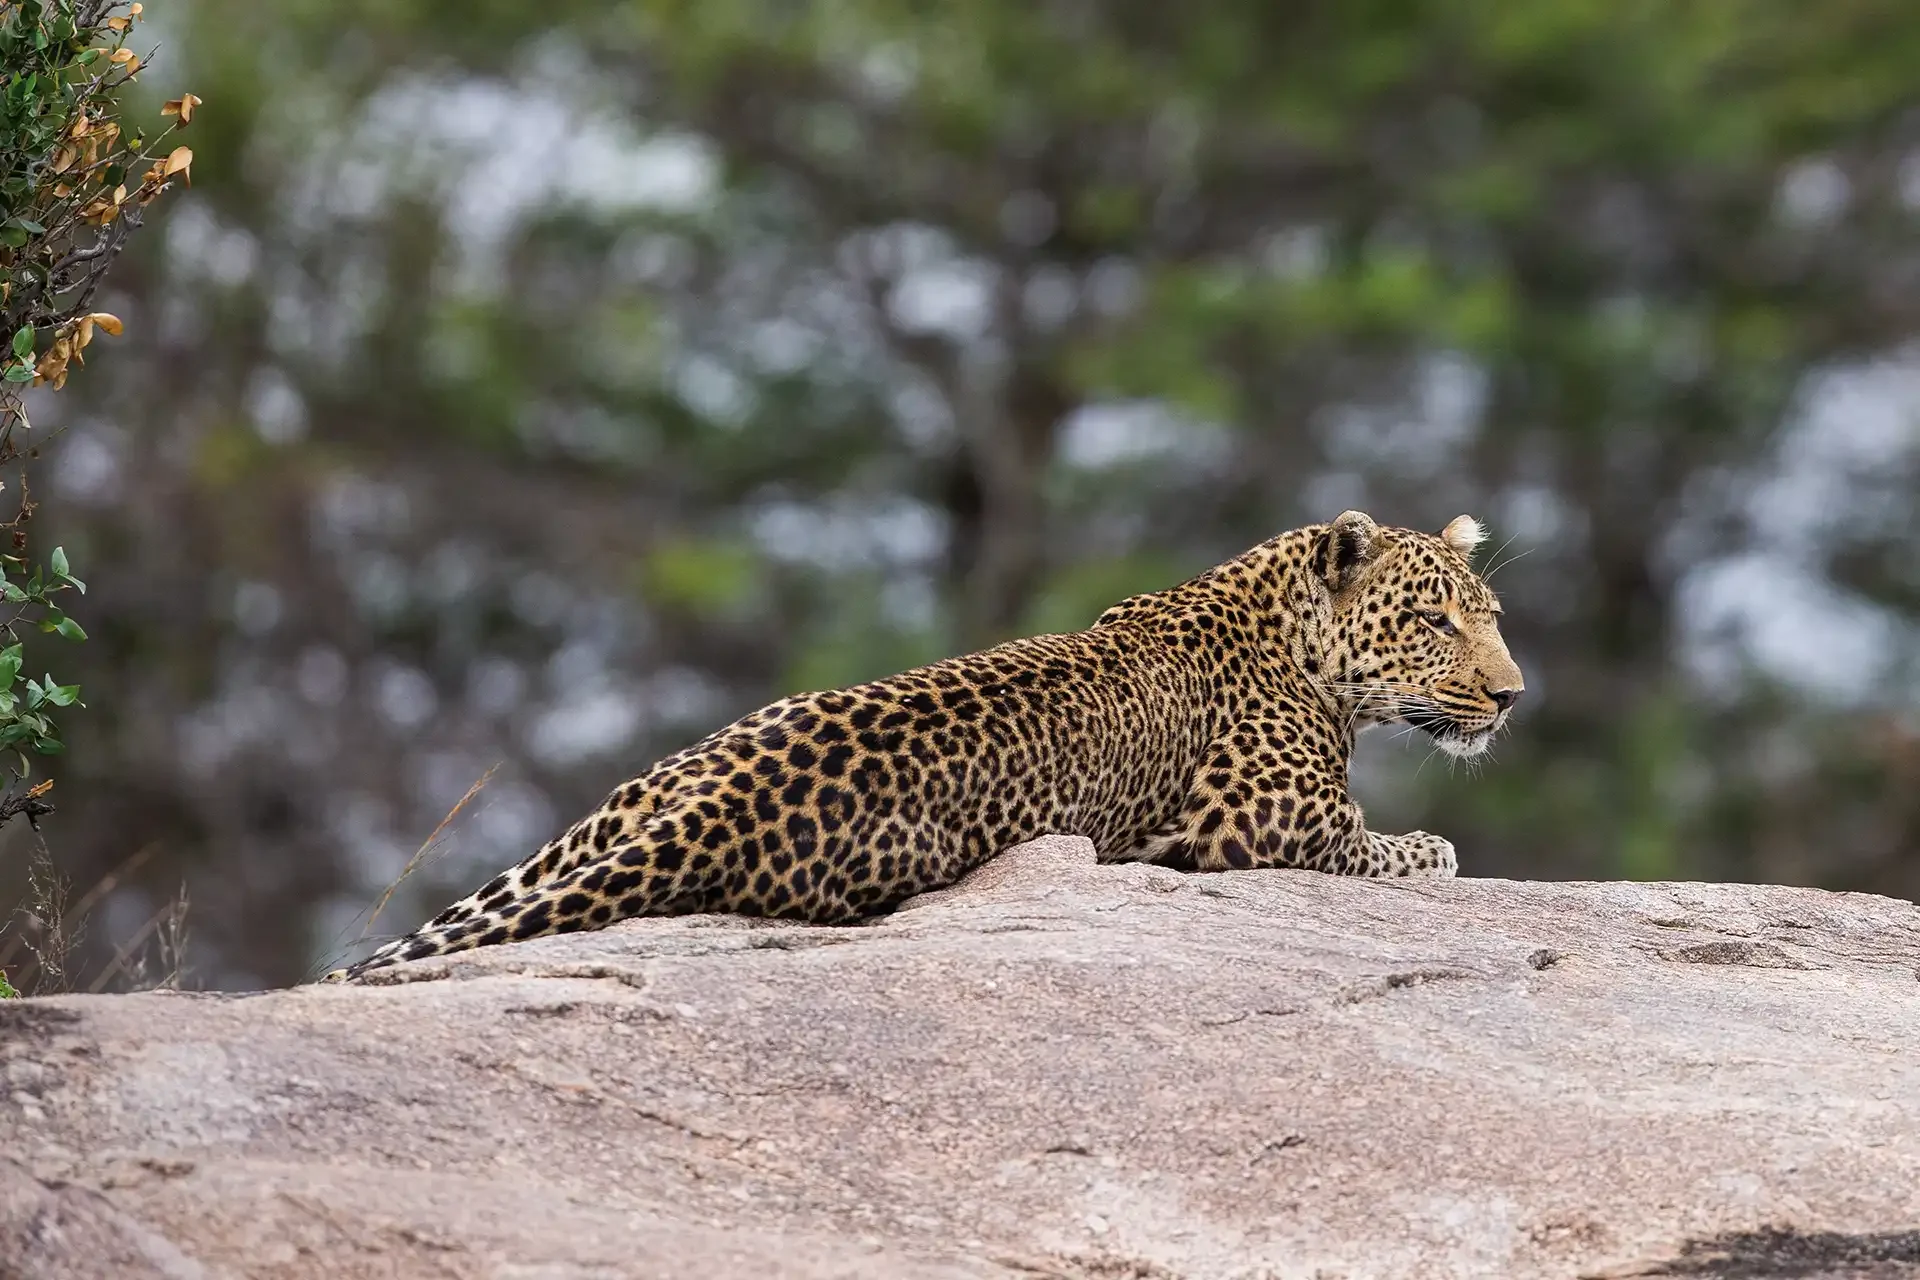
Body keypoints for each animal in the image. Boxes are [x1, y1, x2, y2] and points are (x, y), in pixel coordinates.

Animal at [327, 509, 1523, 981]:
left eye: (1492, 614)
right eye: (1433, 621)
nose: (1512, 697)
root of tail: (716, 792)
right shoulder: (1261, 822)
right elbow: (1393, 845)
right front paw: (1437, 849)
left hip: (587, 824)